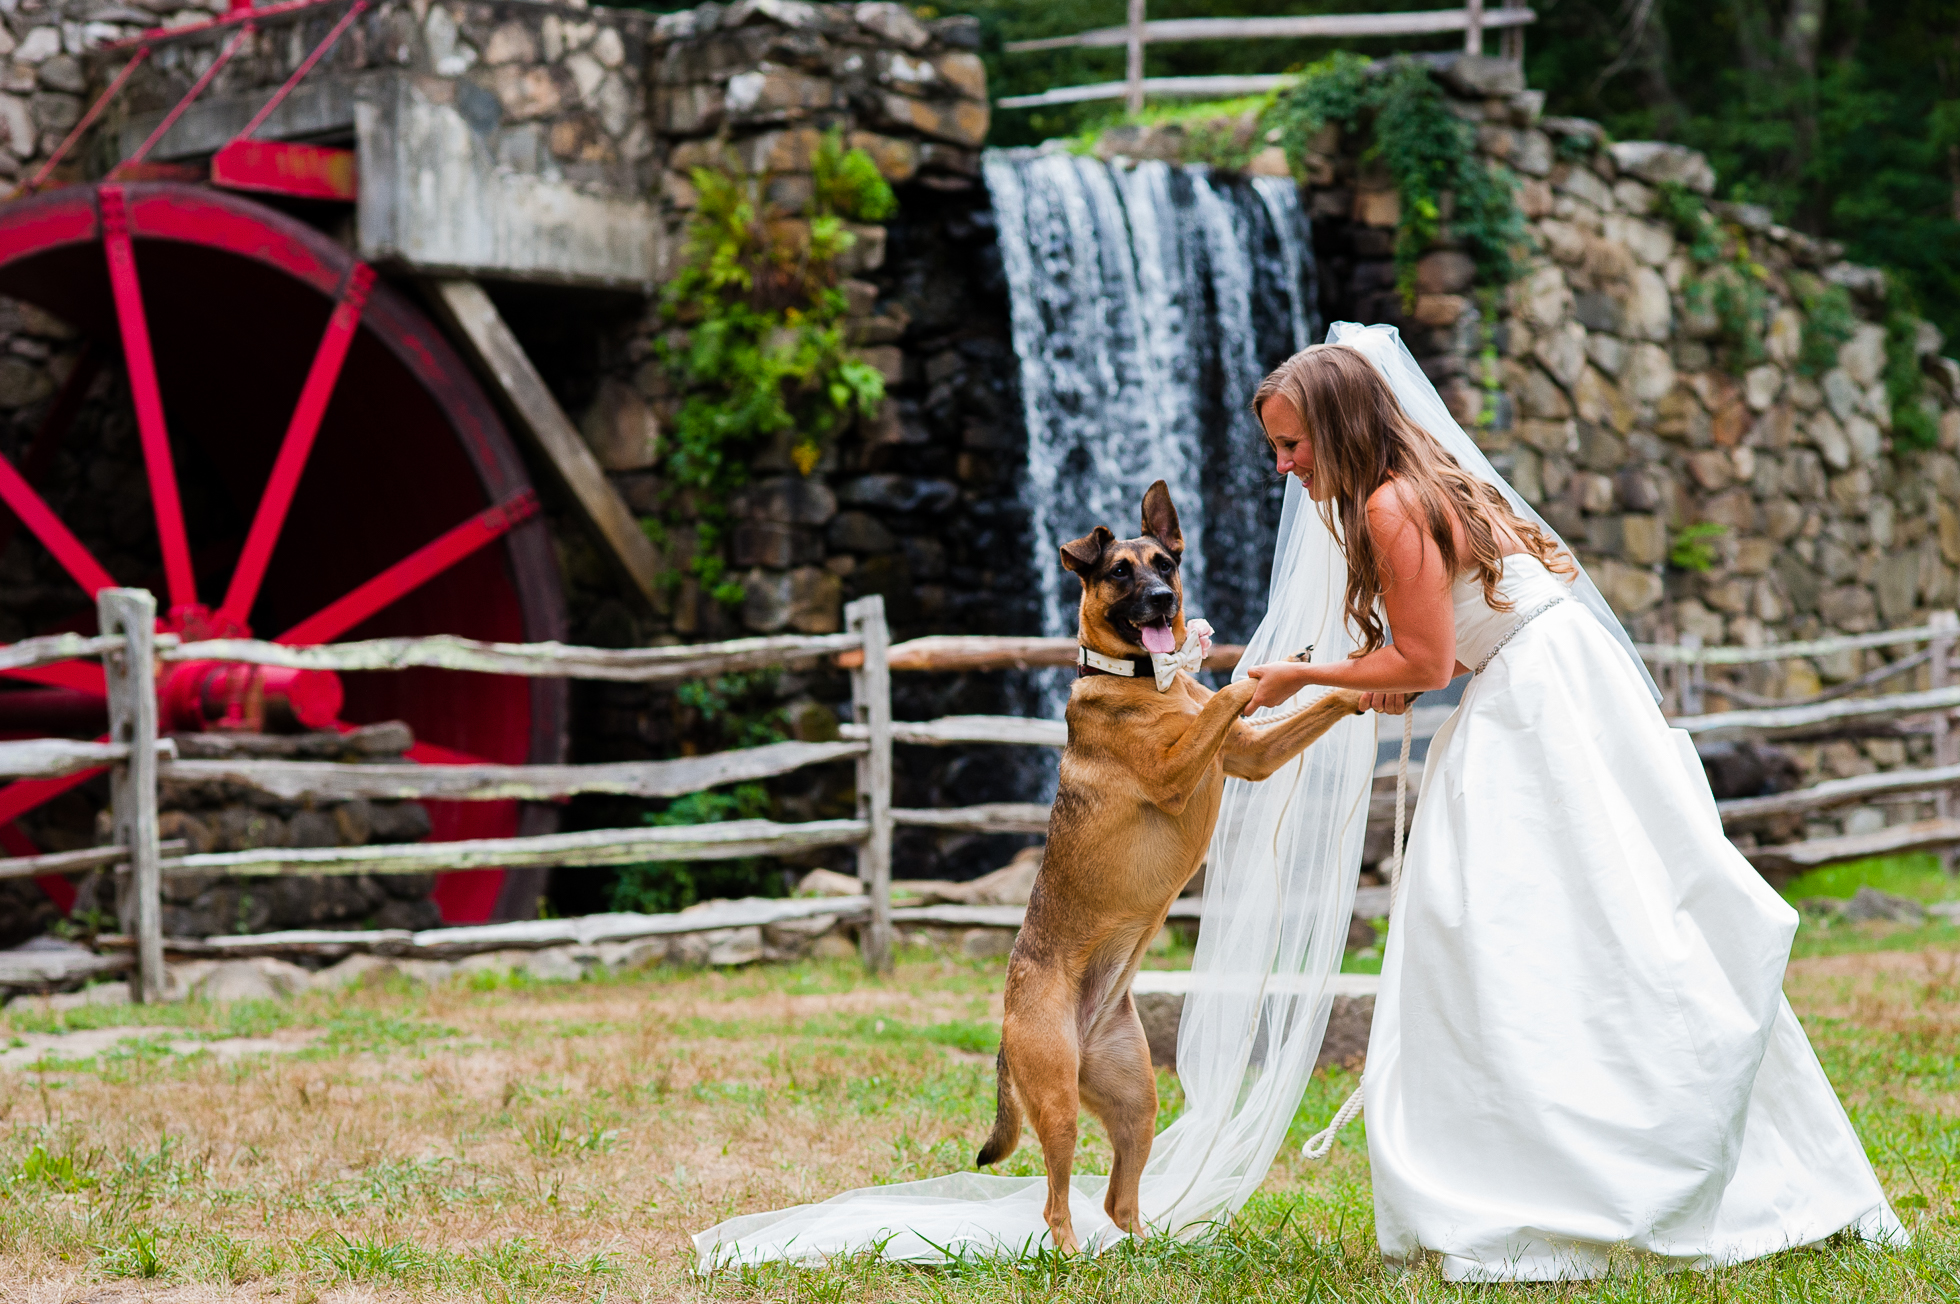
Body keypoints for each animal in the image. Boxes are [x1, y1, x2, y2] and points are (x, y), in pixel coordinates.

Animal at [968, 478, 1364, 1254]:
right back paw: (1073, 1258)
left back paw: (1144, 1249)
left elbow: (1305, 705)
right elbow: (1236, 691)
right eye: (1119, 572)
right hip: (1056, 1098)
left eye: (1165, 563)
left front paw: (1361, 686)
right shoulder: (1180, 770)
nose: (1160, 600)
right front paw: (1275, 666)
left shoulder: (1250, 756)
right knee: (1056, 1200)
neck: (1152, 682)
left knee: (1118, 1198)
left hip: (1136, 1101)